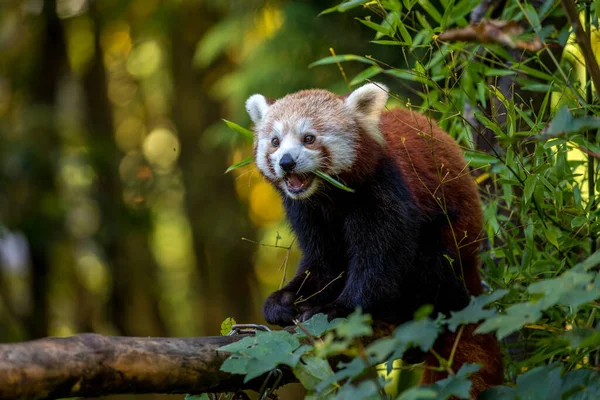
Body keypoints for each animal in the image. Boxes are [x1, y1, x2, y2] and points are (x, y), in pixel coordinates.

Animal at [244, 82, 502, 396]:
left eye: (309, 138)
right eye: (275, 141)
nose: (286, 162)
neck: (329, 196)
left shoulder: (382, 188)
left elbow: (379, 261)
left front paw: (336, 309)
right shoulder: (307, 212)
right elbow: (324, 263)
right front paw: (286, 300)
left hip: (449, 240)